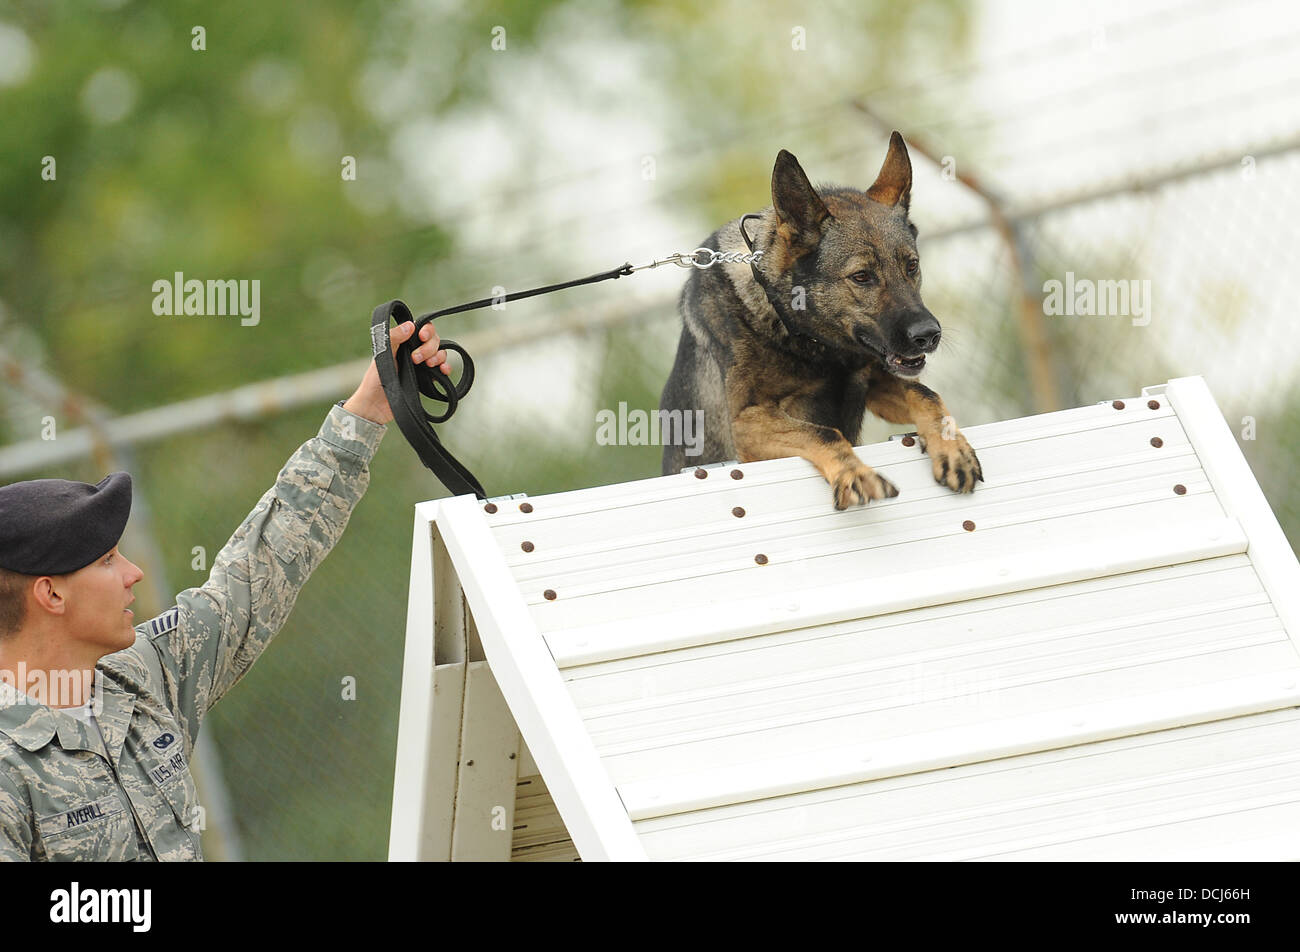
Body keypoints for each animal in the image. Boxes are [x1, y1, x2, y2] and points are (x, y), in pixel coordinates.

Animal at [665, 132, 977, 512]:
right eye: (861, 276)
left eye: (912, 266)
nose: (929, 336)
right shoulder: (747, 423)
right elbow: (824, 432)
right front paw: (854, 473)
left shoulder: (876, 382)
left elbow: (927, 394)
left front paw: (952, 447)